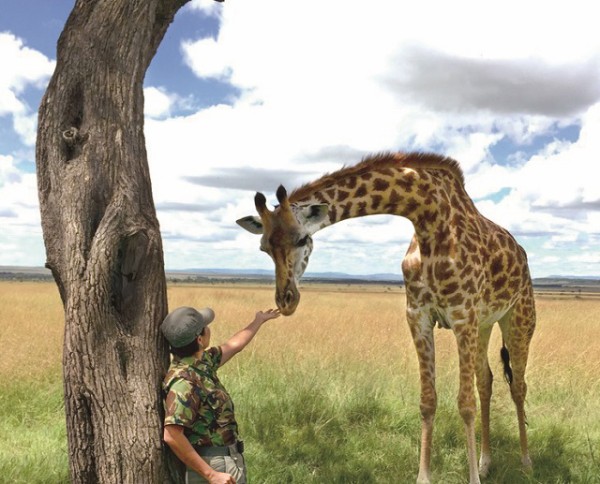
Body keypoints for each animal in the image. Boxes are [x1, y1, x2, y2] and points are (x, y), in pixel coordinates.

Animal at [237, 152, 536, 484]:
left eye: (302, 239)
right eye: (264, 247)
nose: (286, 300)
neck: (428, 218)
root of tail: (521, 252)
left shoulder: (462, 315)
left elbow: (465, 404)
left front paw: (472, 479)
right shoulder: (418, 316)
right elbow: (428, 400)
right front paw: (424, 477)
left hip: (519, 317)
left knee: (518, 385)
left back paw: (526, 461)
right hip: (485, 324)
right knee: (487, 380)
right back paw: (486, 462)